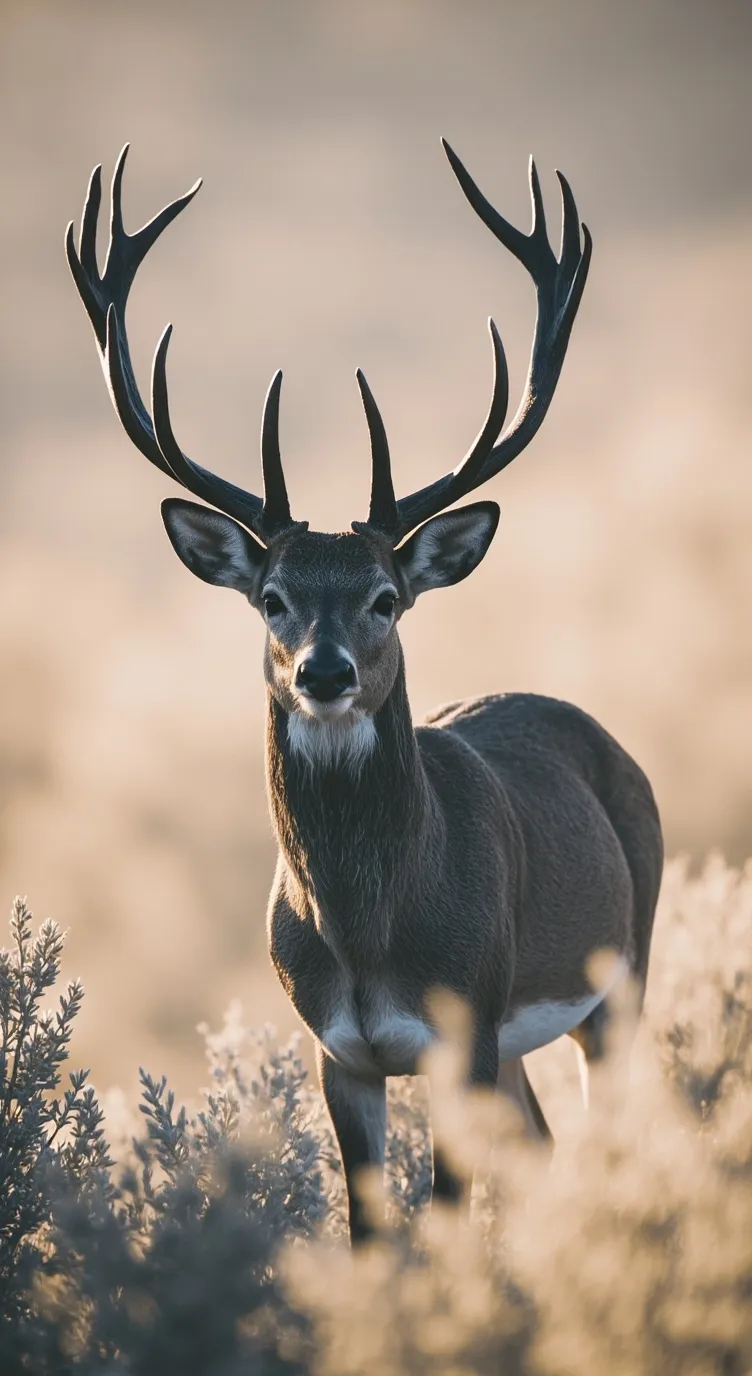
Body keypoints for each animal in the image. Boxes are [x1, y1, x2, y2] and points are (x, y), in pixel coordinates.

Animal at [66, 141, 663, 1243]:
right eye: (272, 597)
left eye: (386, 596)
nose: (325, 669)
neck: (369, 930)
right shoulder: (337, 1049)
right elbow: (373, 1234)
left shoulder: (464, 1028)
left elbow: (442, 1224)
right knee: (549, 1149)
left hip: (622, 970)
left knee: (609, 1140)